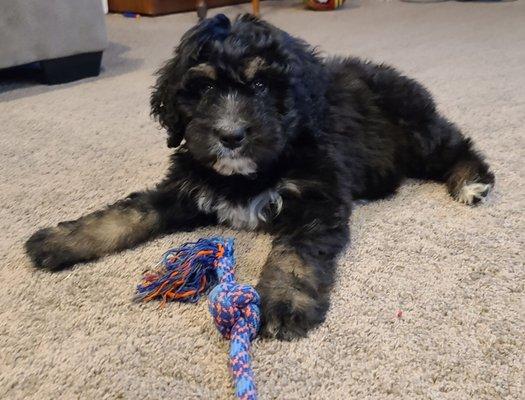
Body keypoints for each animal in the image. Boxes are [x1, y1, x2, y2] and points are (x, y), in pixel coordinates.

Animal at [24, 14, 494, 340]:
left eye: (264, 86)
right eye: (204, 89)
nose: (230, 136)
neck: (251, 173)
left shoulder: (316, 199)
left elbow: (295, 255)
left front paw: (283, 305)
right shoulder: (184, 187)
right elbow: (127, 213)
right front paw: (58, 241)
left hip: (416, 131)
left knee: (455, 145)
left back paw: (471, 181)